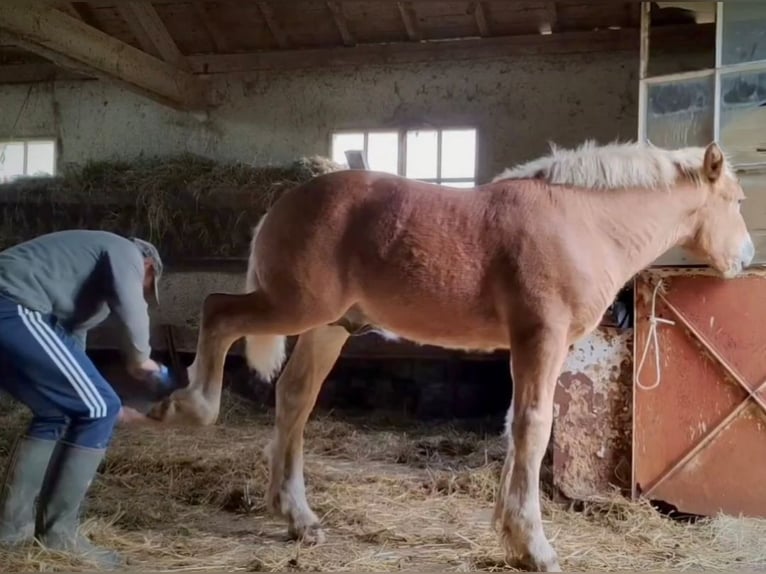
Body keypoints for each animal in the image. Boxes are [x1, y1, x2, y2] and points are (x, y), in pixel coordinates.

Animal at [147, 138, 752, 572]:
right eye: (738, 201)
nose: (746, 257)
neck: (583, 223)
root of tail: (283, 203)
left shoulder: (532, 345)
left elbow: (517, 427)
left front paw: (510, 534)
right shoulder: (542, 336)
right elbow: (535, 426)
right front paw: (535, 548)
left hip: (327, 326)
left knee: (294, 397)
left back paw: (298, 517)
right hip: (295, 306)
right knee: (218, 313)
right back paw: (185, 407)